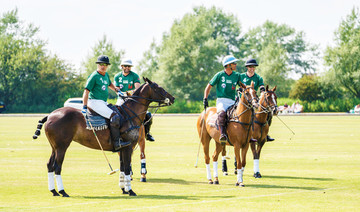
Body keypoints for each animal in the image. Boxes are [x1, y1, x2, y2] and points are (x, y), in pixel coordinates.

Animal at [31, 78, 175, 197]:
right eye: (158, 88)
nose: (172, 98)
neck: (130, 114)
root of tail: (50, 115)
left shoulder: (122, 148)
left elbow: (123, 167)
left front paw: (123, 189)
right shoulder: (128, 146)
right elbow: (127, 168)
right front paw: (130, 190)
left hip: (54, 147)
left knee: (50, 165)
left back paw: (54, 191)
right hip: (62, 146)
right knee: (57, 166)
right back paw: (62, 191)